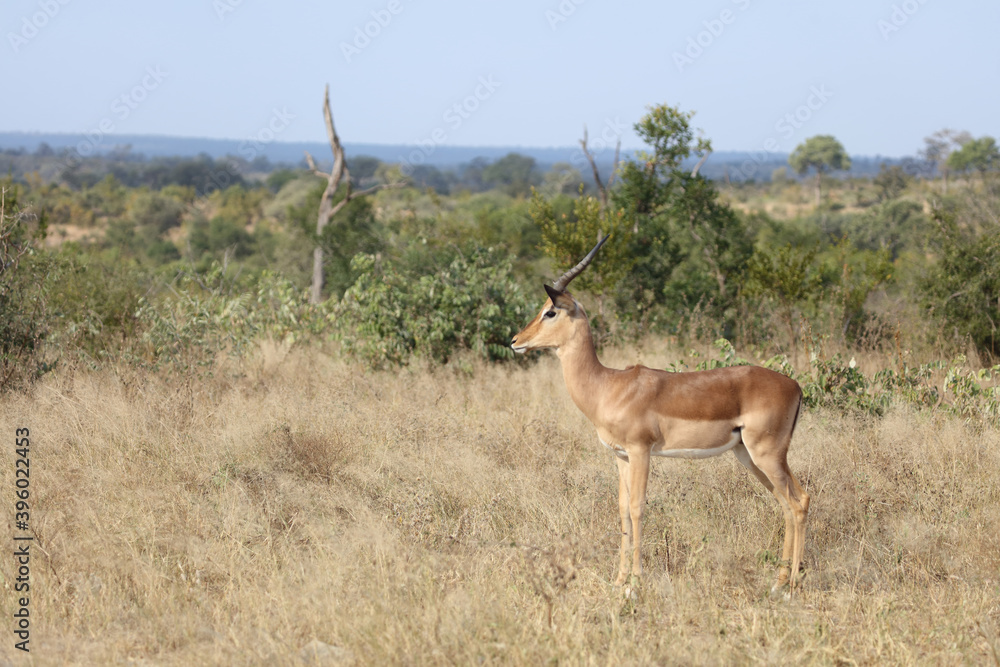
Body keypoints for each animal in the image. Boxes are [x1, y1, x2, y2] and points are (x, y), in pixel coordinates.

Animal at [511, 235, 810, 594]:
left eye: (550, 311)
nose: (515, 341)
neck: (607, 386)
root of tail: (795, 385)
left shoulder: (641, 451)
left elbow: (638, 507)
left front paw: (635, 583)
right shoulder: (620, 456)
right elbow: (622, 509)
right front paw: (618, 580)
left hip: (767, 454)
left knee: (798, 501)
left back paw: (790, 587)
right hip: (750, 456)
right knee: (789, 502)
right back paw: (779, 582)